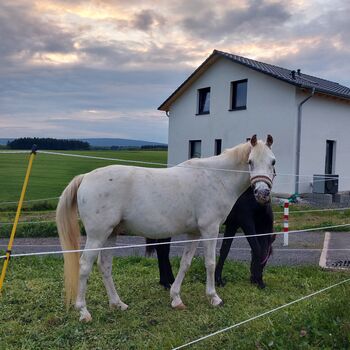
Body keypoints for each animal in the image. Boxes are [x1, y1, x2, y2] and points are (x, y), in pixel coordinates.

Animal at [56, 135, 274, 322]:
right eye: (250, 161)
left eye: (272, 161)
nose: (262, 193)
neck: (216, 177)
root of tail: (85, 177)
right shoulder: (209, 229)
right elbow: (210, 263)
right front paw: (214, 297)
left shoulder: (194, 232)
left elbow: (185, 264)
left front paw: (176, 298)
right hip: (97, 235)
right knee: (85, 266)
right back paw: (83, 311)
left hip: (111, 234)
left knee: (105, 266)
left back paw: (118, 303)